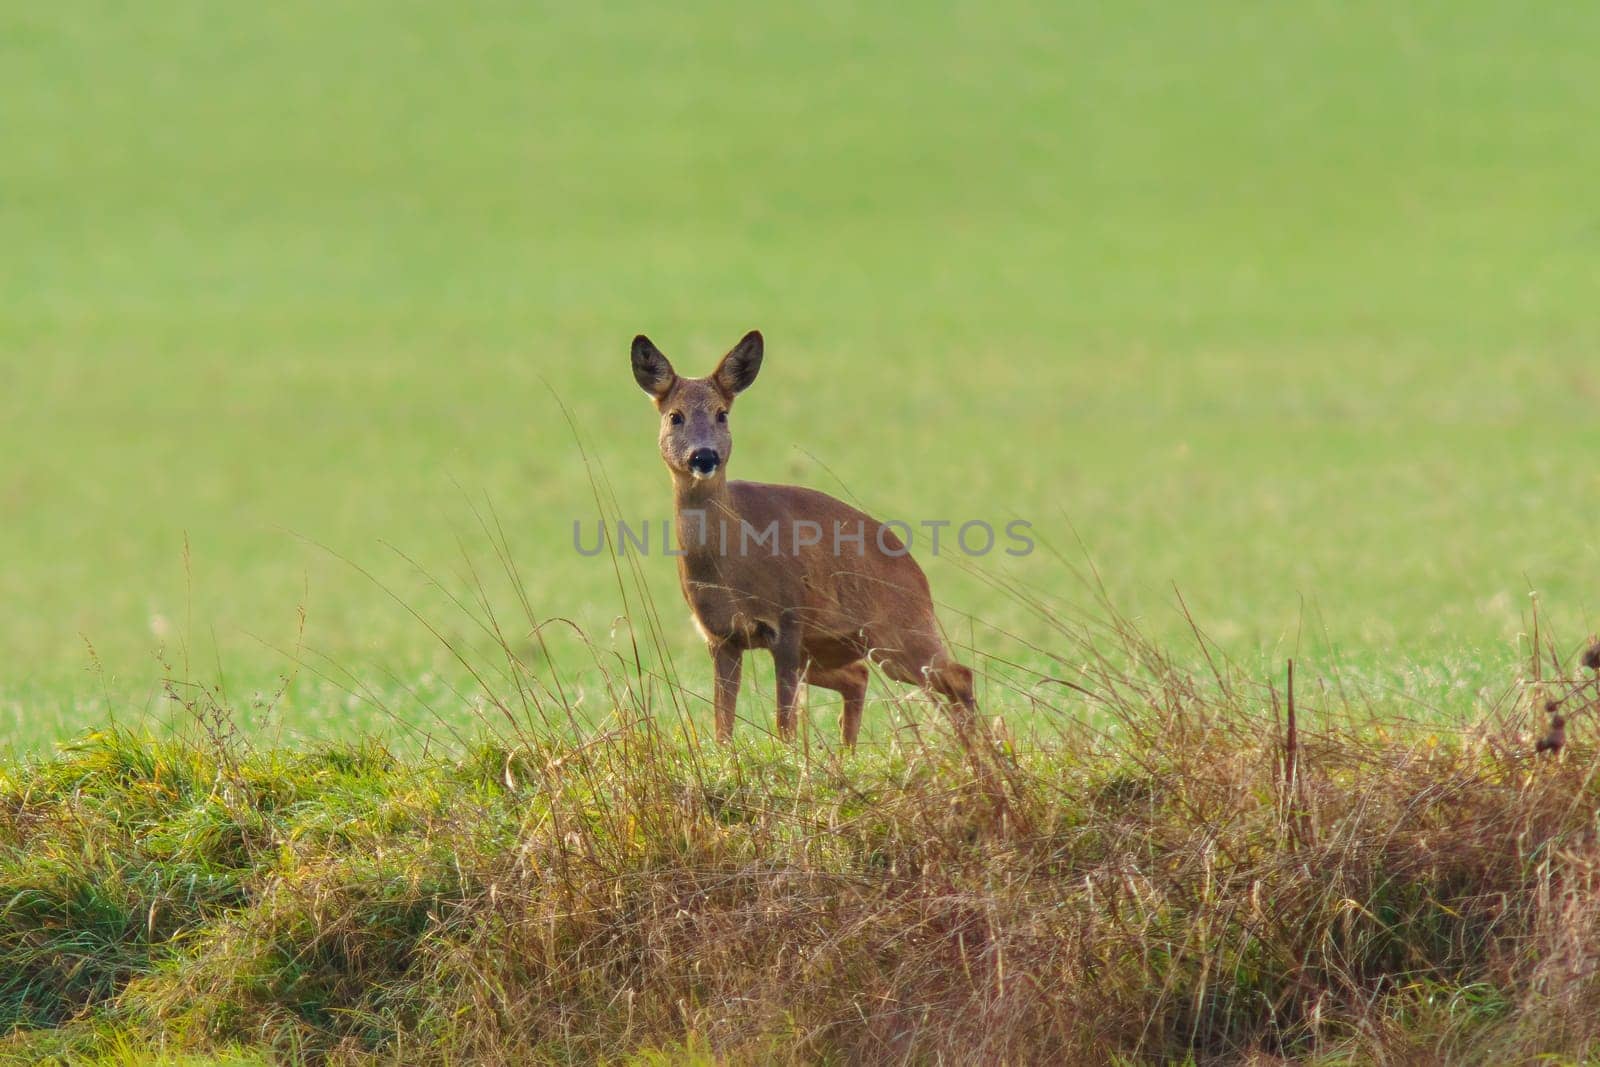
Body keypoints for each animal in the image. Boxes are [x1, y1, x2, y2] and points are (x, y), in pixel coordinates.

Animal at [630, 329, 979, 748]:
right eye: (675, 416)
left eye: (722, 413)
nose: (704, 456)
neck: (731, 563)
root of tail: (920, 577)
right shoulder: (720, 635)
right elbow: (723, 727)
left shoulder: (787, 620)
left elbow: (785, 722)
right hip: (833, 647)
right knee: (860, 676)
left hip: (897, 631)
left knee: (960, 675)